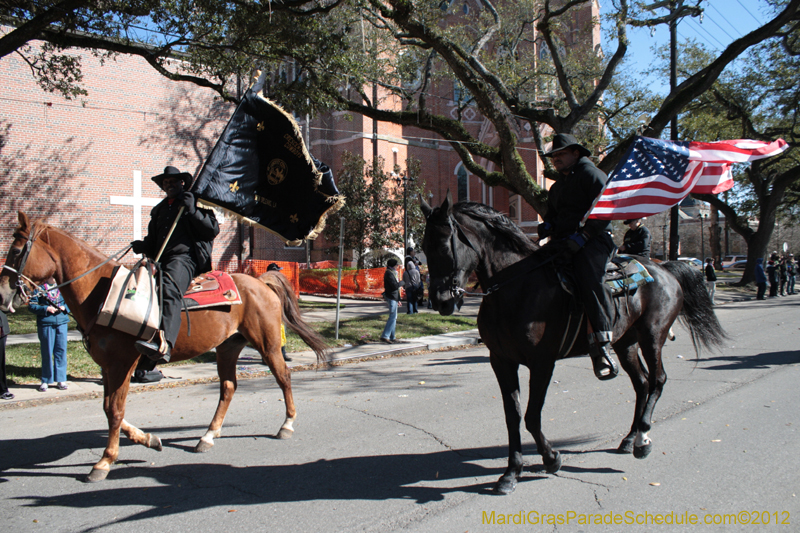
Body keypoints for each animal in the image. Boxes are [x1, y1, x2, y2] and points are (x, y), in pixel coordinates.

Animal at [0, 212, 328, 482]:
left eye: (16, 251)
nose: (2, 294)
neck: (104, 293)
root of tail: (260, 281)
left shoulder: (121, 364)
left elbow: (114, 410)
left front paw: (104, 462)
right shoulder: (108, 367)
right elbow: (108, 409)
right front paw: (148, 439)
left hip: (268, 344)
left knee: (283, 378)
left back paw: (286, 425)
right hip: (227, 348)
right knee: (228, 387)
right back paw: (208, 436)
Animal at [422, 192, 728, 494]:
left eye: (444, 245)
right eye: (424, 246)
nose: (440, 301)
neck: (515, 288)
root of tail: (664, 268)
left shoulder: (542, 363)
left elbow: (532, 416)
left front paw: (551, 458)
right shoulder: (501, 361)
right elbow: (513, 416)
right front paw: (511, 473)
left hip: (652, 336)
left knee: (658, 380)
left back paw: (642, 439)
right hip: (625, 342)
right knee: (642, 383)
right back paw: (630, 438)